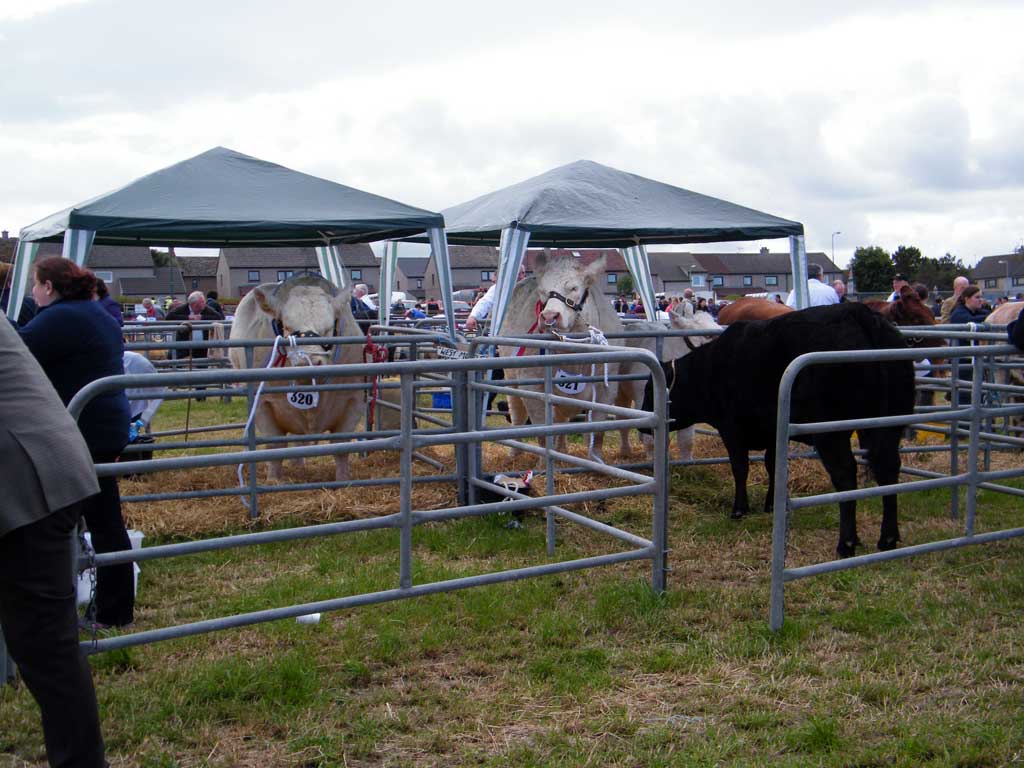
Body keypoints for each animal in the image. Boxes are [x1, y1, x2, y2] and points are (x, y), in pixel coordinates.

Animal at [230, 276, 366, 481]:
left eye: (329, 328)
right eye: (286, 326)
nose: (307, 361)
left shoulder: (353, 400)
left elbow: (341, 447)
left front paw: (343, 479)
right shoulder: (262, 404)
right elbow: (275, 447)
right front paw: (273, 480)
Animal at [495, 253, 622, 462]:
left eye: (574, 288)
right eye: (542, 291)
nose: (549, 317)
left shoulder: (607, 388)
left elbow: (596, 431)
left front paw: (596, 461)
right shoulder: (532, 385)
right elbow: (543, 432)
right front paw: (543, 464)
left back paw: (563, 450)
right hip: (511, 379)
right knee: (517, 414)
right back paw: (514, 454)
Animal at [643, 303, 917, 561]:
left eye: (650, 390)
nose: (644, 423)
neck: (711, 367)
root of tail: (859, 313)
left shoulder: (732, 430)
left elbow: (740, 468)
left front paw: (739, 509)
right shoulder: (773, 431)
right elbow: (773, 466)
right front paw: (770, 504)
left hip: (831, 433)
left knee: (846, 475)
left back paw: (846, 542)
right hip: (886, 424)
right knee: (887, 468)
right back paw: (888, 538)